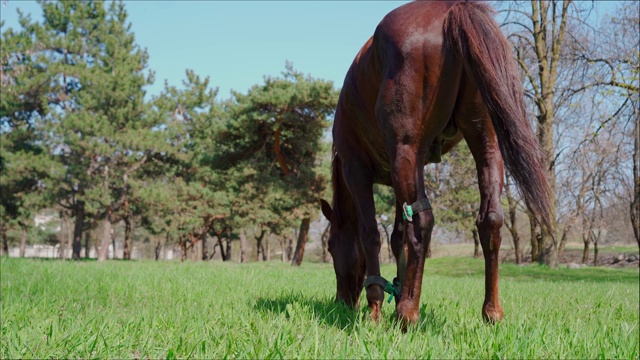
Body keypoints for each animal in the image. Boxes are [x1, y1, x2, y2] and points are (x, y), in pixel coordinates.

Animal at [318, 0, 552, 326]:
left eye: (330, 246)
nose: (342, 301)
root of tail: (452, 9)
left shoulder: (357, 171)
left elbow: (372, 235)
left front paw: (376, 307)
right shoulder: (397, 174)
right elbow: (397, 238)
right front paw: (397, 291)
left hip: (406, 151)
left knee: (422, 222)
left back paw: (407, 313)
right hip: (485, 143)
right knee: (490, 220)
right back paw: (490, 312)